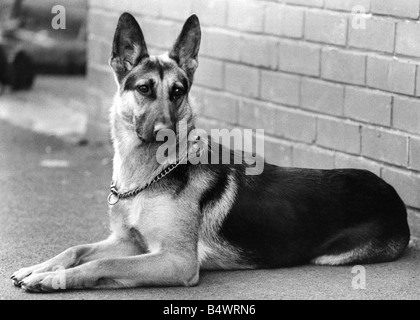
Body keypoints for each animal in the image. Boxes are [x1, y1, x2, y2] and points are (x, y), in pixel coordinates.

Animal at [11, 13, 408, 292]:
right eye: (144, 88)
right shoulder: (128, 242)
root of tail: (393, 194)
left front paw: (54, 279)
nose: (165, 132)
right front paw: (39, 268)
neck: (149, 177)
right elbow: (75, 249)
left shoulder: (176, 260)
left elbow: (101, 265)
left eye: (178, 91)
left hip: (332, 255)